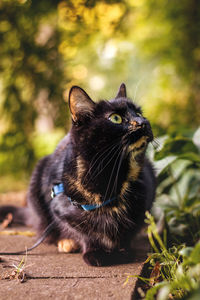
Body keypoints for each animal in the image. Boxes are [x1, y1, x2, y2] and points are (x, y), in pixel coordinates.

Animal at [0, 83, 155, 266]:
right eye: (115, 118)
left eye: (139, 113)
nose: (143, 122)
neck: (111, 175)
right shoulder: (61, 207)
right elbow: (84, 231)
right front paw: (95, 252)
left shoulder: (144, 198)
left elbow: (128, 230)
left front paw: (123, 250)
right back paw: (66, 242)